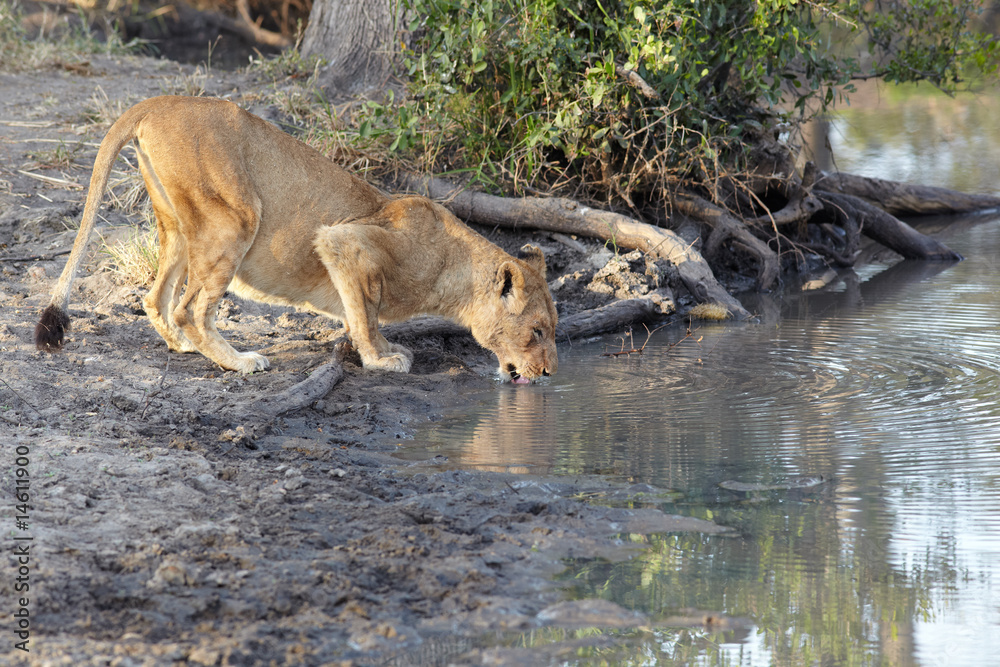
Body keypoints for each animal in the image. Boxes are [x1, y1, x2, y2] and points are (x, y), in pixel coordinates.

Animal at [34, 96, 558, 383]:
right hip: (235, 219)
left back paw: (182, 346)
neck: (454, 270)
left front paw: (385, 348)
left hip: (180, 227)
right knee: (190, 308)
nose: (550, 373)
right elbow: (364, 314)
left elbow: (364, 312)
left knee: (155, 296)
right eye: (537, 332)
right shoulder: (343, 240)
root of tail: (158, 102)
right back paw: (237, 361)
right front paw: (380, 360)